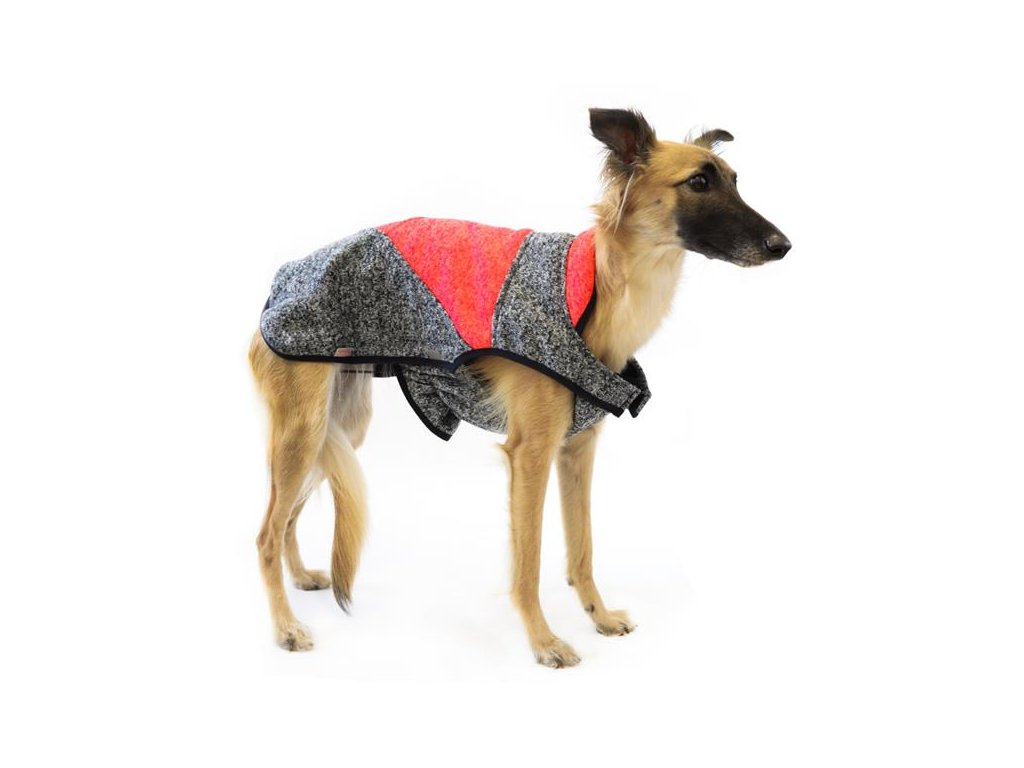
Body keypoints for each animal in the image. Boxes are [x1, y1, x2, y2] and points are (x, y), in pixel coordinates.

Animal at [249, 108, 790, 667]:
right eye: (699, 182)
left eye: (734, 180)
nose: (783, 246)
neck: (598, 287)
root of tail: (282, 279)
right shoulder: (530, 452)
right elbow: (528, 562)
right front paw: (544, 641)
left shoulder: (577, 449)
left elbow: (582, 549)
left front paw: (599, 616)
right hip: (304, 430)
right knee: (265, 533)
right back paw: (286, 627)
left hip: (339, 428)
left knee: (286, 519)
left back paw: (300, 579)